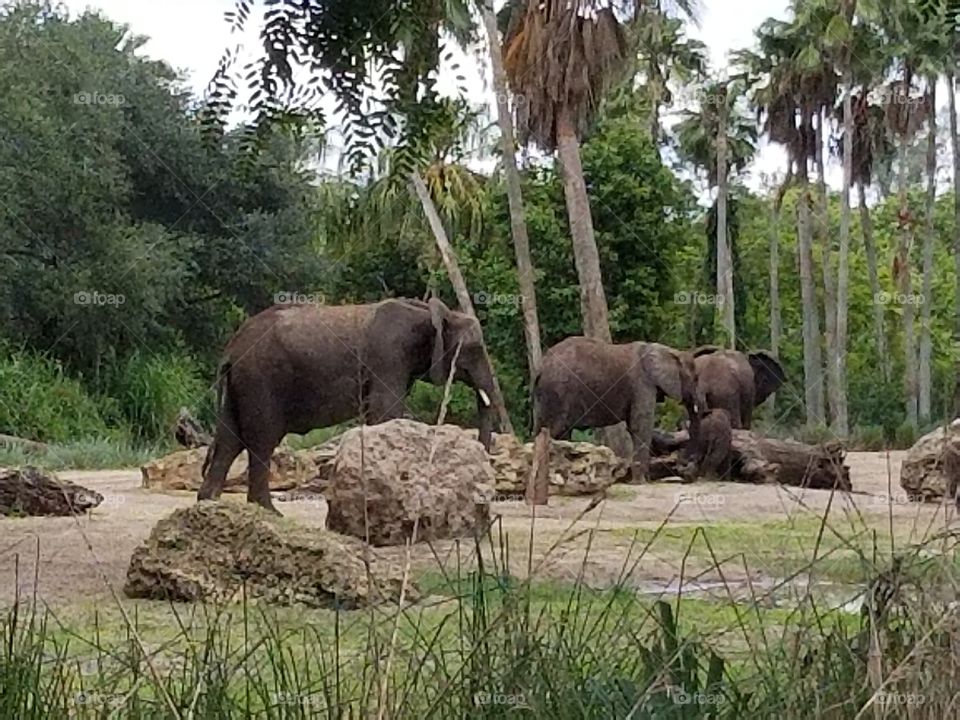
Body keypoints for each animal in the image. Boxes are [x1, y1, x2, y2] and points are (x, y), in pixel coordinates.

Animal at [195, 296, 496, 512]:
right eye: (474, 350)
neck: (429, 312)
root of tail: (231, 348)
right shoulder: (389, 355)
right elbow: (387, 410)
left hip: (241, 383)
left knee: (230, 440)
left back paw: (209, 503)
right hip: (261, 378)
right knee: (261, 439)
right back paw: (269, 512)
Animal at [532, 338, 696, 484]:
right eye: (693, 378)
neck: (668, 351)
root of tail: (541, 367)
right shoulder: (641, 384)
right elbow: (640, 425)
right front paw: (641, 482)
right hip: (557, 392)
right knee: (554, 430)